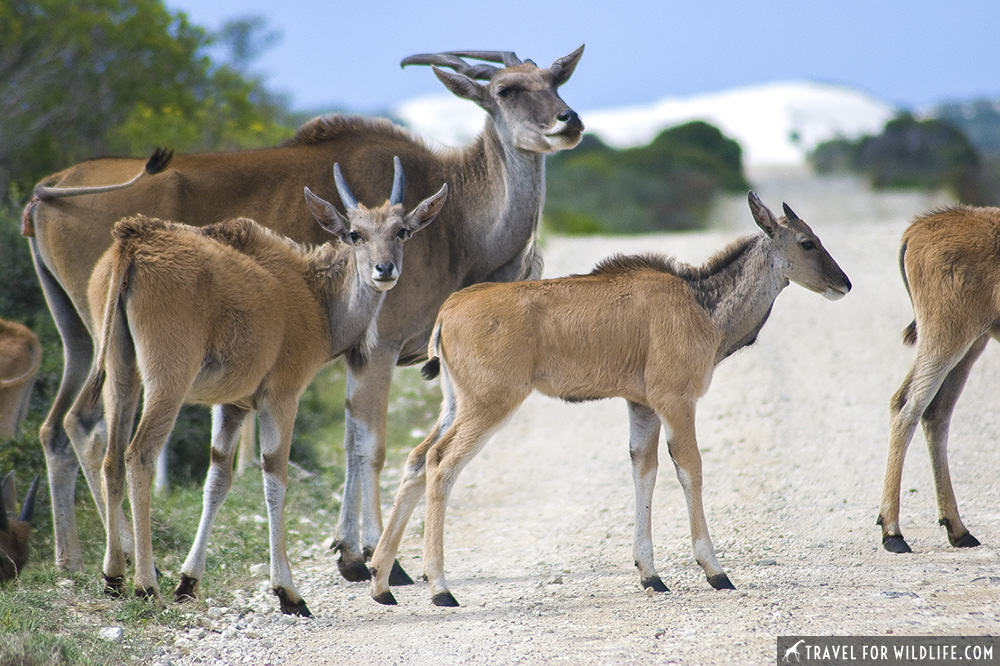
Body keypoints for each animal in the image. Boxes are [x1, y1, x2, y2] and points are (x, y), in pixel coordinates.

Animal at [80, 157, 448, 612]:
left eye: (401, 231)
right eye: (354, 234)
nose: (385, 270)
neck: (312, 295)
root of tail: (130, 244)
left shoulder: (233, 405)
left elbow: (218, 479)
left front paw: (189, 581)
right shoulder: (281, 396)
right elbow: (275, 478)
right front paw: (287, 591)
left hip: (121, 375)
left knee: (111, 458)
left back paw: (114, 575)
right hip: (167, 380)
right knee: (139, 455)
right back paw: (145, 584)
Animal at [370, 191, 852, 600]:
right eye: (808, 243)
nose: (844, 283)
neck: (701, 303)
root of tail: (447, 312)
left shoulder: (642, 406)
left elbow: (645, 469)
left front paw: (650, 575)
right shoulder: (676, 400)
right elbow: (689, 468)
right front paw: (715, 571)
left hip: (455, 405)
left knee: (417, 459)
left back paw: (380, 581)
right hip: (490, 403)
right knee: (442, 464)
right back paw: (439, 587)